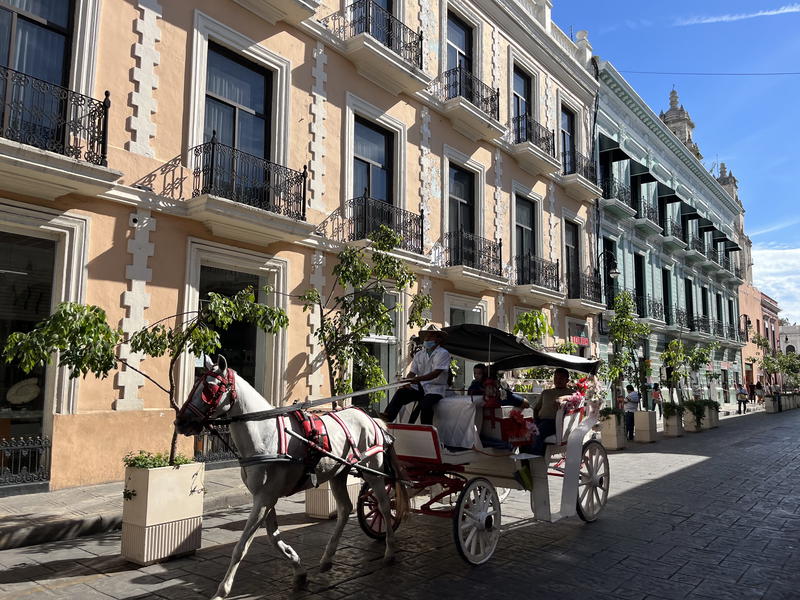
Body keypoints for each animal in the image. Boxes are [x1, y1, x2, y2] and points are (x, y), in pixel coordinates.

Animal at [177, 358, 410, 596]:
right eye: (196, 384)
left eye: (210, 388)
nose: (180, 421)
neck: (265, 435)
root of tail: (369, 417)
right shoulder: (265, 497)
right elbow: (273, 537)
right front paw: (298, 569)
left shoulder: (265, 498)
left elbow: (242, 546)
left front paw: (222, 590)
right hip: (338, 472)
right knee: (345, 508)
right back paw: (327, 558)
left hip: (372, 470)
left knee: (383, 505)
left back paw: (390, 551)